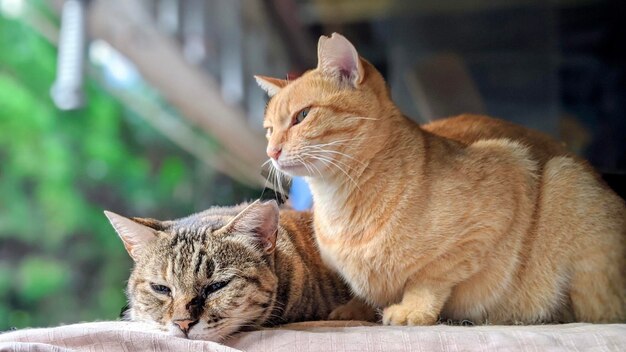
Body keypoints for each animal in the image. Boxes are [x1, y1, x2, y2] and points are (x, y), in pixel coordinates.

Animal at [255, 33, 624, 324]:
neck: (338, 201)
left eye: (302, 116)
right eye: (269, 129)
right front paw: (357, 308)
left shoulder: (503, 184)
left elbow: (429, 279)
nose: (271, 151)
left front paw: (412, 310)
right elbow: (369, 294)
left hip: (566, 181)